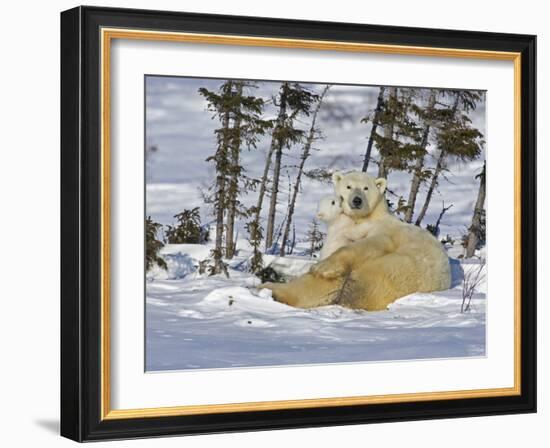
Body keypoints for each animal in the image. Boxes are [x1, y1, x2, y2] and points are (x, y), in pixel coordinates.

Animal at [264, 170, 452, 310]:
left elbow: (367, 245)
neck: (362, 219)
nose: (357, 200)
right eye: (349, 186)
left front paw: (322, 267)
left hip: (397, 269)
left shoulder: (384, 231)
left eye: (366, 188)